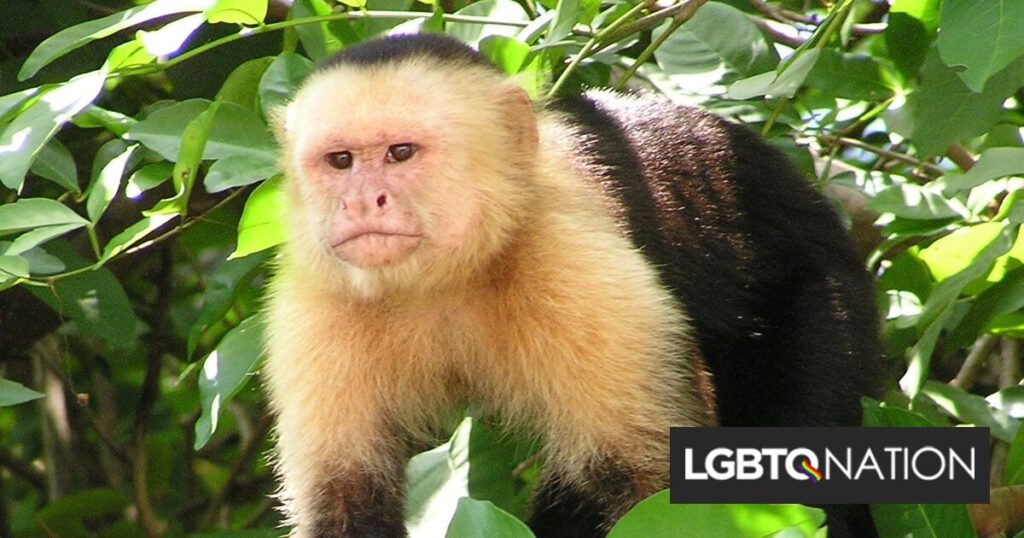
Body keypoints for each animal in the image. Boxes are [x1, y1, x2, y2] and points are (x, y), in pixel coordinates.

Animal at [262, 33, 881, 538]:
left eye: (400, 152)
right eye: (340, 161)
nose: (362, 202)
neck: (445, 280)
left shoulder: (578, 269)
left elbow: (657, 492)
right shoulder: (314, 305)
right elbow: (344, 503)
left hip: (822, 288)